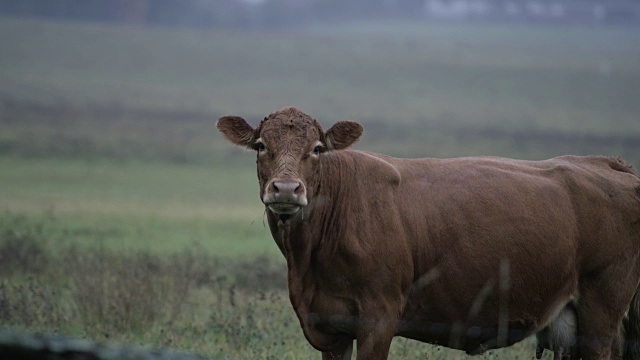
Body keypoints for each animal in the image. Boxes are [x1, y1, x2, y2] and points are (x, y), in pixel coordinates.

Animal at [216, 105, 640, 358]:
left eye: (318, 148)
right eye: (260, 145)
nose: (287, 189)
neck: (309, 261)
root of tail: (608, 163)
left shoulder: (379, 316)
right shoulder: (328, 325)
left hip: (602, 307)